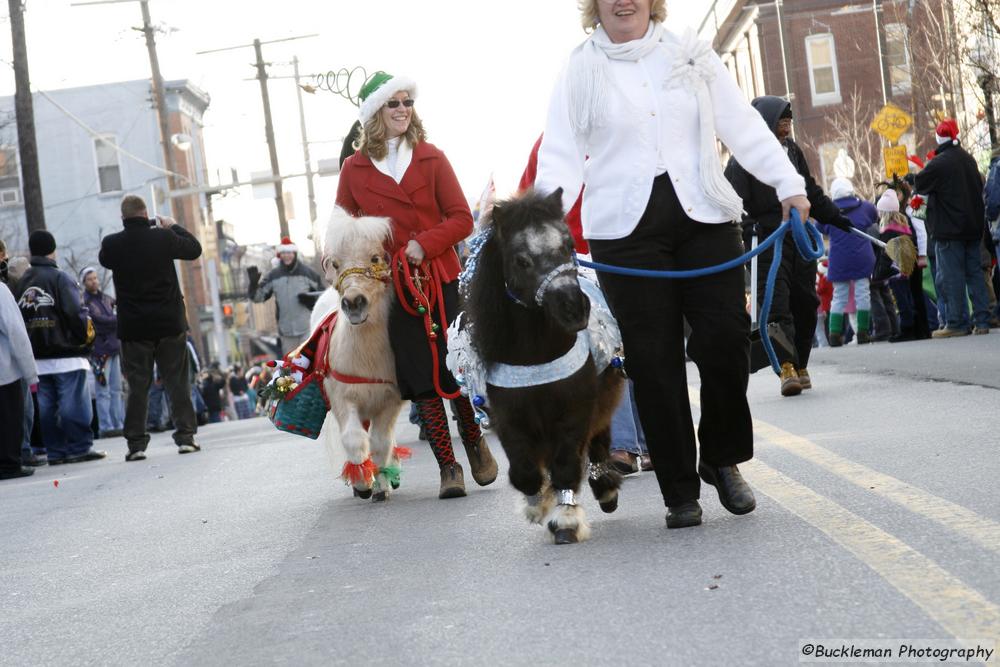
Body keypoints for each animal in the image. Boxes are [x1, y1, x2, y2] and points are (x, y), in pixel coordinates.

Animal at [316, 207, 402, 500]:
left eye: (374, 258)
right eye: (335, 264)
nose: (354, 303)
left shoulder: (390, 399)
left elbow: (380, 442)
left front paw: (381, 485)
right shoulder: (342, 397)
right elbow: (353, 439)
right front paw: (363, 481)